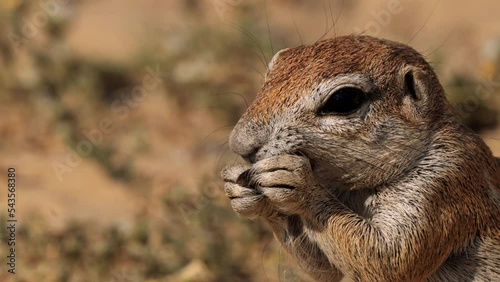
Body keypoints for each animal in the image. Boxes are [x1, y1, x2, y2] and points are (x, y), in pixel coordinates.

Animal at [221, 35, 500, 282]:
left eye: (344, 99)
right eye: (271, 73)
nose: (239, 144)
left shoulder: (443, 187)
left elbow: (388, 259)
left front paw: (297, 182)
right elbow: (323, 270)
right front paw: (239, 189)